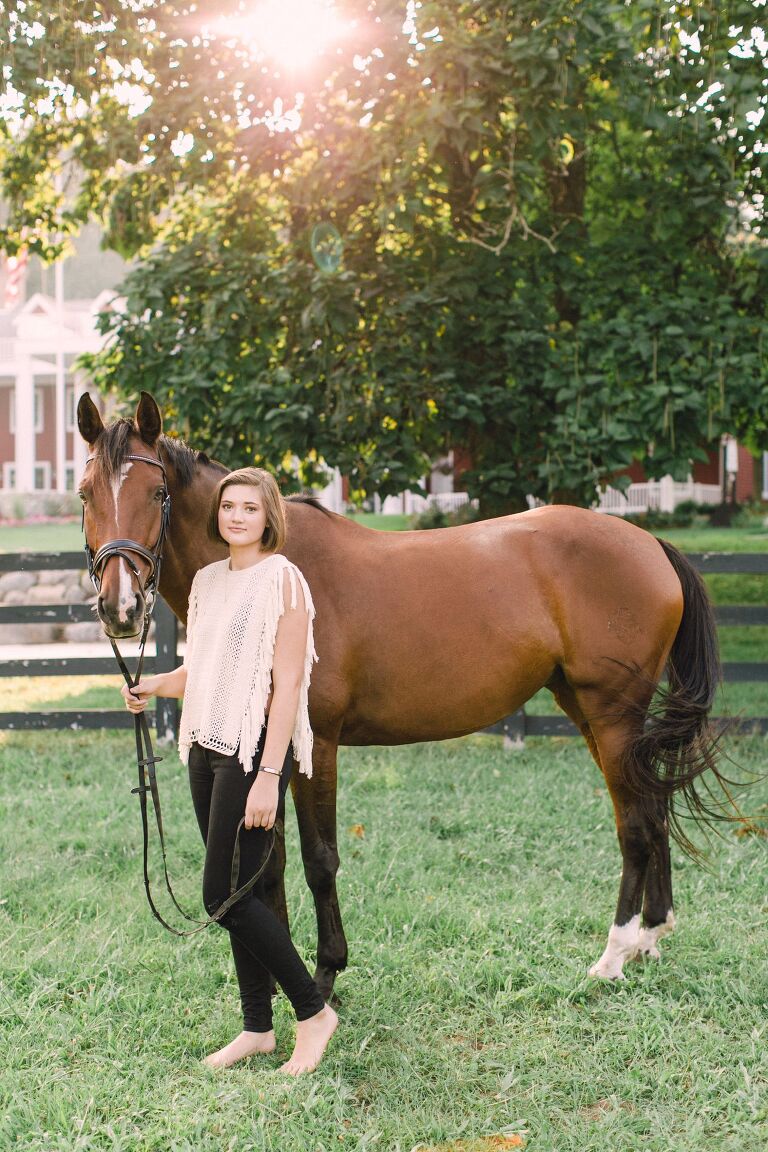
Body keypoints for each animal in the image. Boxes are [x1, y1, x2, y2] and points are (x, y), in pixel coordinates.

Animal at [78, 393, 732, 990]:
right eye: (86, 494)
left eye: (156, 495)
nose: (119, 608)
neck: (272, 570)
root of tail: (649, 544)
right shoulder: (268, 753)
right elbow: (269, 866)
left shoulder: (317, 747)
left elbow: (320, 860)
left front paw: (326, 975)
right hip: (587, 711)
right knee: (652, 808)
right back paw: (650, 937)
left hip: (612, 714)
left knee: (635, 825)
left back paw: (614, 954)